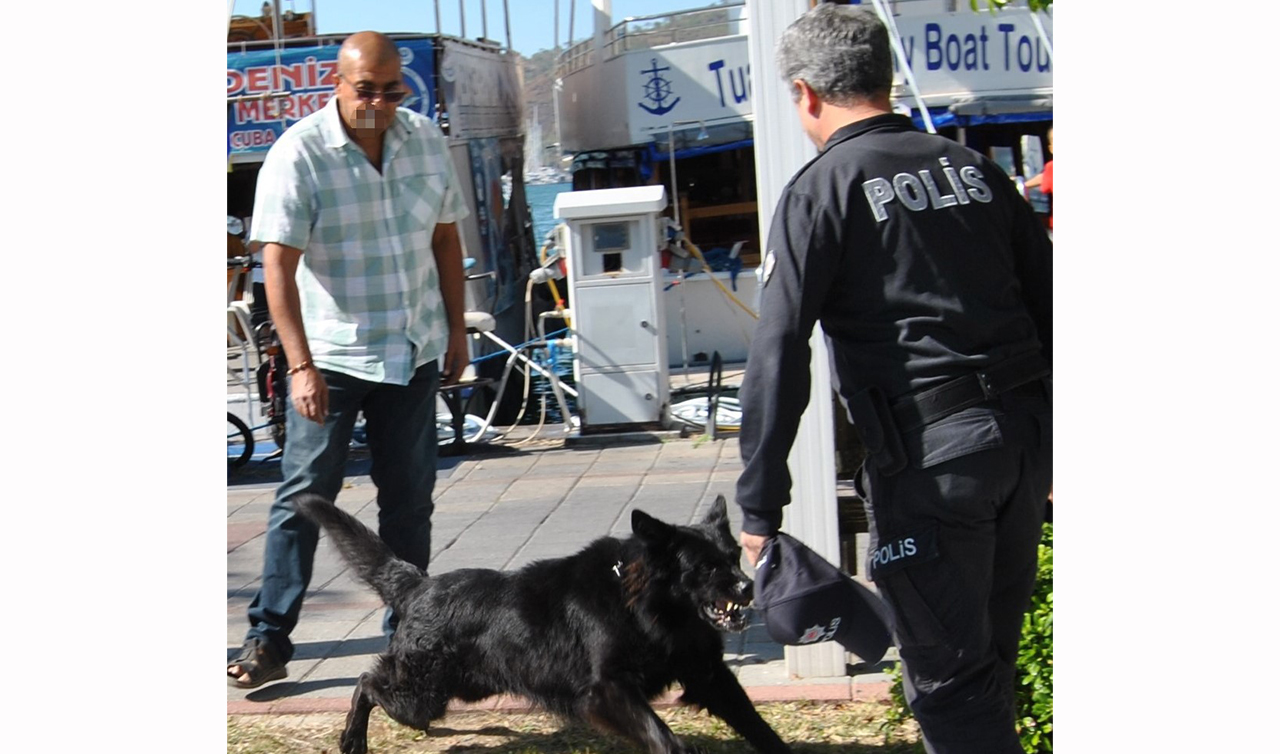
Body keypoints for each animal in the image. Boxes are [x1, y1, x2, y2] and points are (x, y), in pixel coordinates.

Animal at [296, 491, 788, 747]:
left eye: (733, 557)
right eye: (706, 568)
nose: (748, 587)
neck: (645, 607)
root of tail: (418, 585)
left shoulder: (709, 675)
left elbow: (755, 724)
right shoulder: (606, 691)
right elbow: (662, 735)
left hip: (459, 689)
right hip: (420, 697)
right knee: (367, 683)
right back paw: (352, 740)